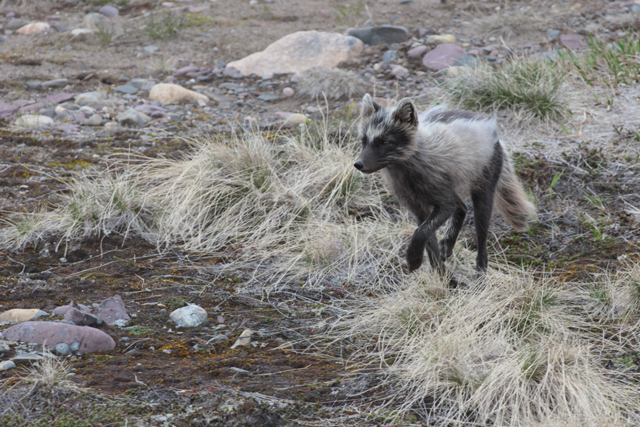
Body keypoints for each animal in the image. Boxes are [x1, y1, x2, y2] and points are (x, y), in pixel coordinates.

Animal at [356, 95, 536, 280]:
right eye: (363, 141)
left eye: (385, 142)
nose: (358, 164)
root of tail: (493, 132)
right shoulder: (419, 208)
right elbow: (428, 241)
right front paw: (443, 277)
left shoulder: (443, 205)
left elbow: (420, 233)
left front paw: (414, 259)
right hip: (451, 192)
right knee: (462, 208)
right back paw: (448, 246)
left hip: (482, 196)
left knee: (482, 241)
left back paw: (480, 275)